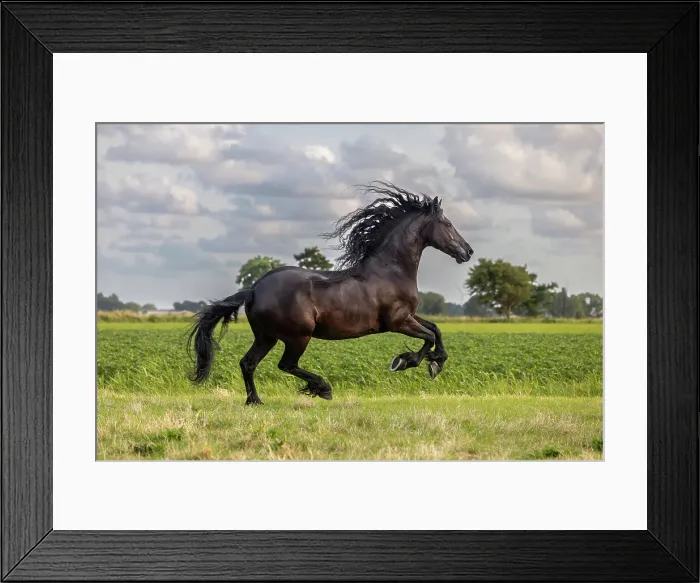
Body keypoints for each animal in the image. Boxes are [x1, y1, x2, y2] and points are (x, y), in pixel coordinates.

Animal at [186, 181, 474, 405]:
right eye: (447, 223)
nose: (468, 251)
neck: (391, 270)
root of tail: (255, 289)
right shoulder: (398, 321)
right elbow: (428, 337)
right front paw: (406, 361)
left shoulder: (409, 316)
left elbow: (436, 329)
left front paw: (436, 361)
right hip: (298, 336)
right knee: (285, 365)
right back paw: (322, 388)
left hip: (266, 337)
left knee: (248, 363)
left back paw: (255, 401)